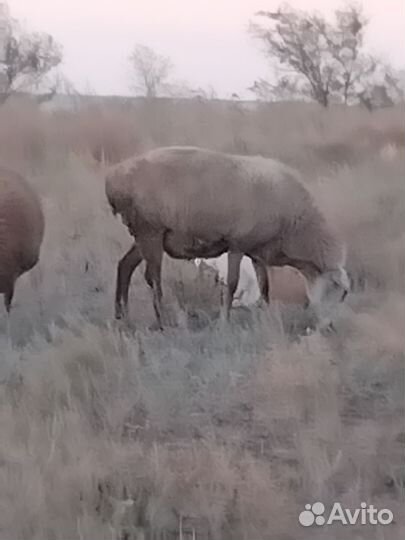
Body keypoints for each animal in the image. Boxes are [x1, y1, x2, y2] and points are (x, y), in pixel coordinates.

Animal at [105, 146, 348, 326]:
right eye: (340, 292)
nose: (329, 326)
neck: (297, 227)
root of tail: (113, 178)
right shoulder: (237, 245)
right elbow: (232, 284)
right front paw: (224, 321)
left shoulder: (256, 252)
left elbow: (265, 287)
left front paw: (266, 317)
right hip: (151, 231)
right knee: (153, 278)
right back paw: (162, 321)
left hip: (143, 236)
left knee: (125, 265)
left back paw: (121, 317)